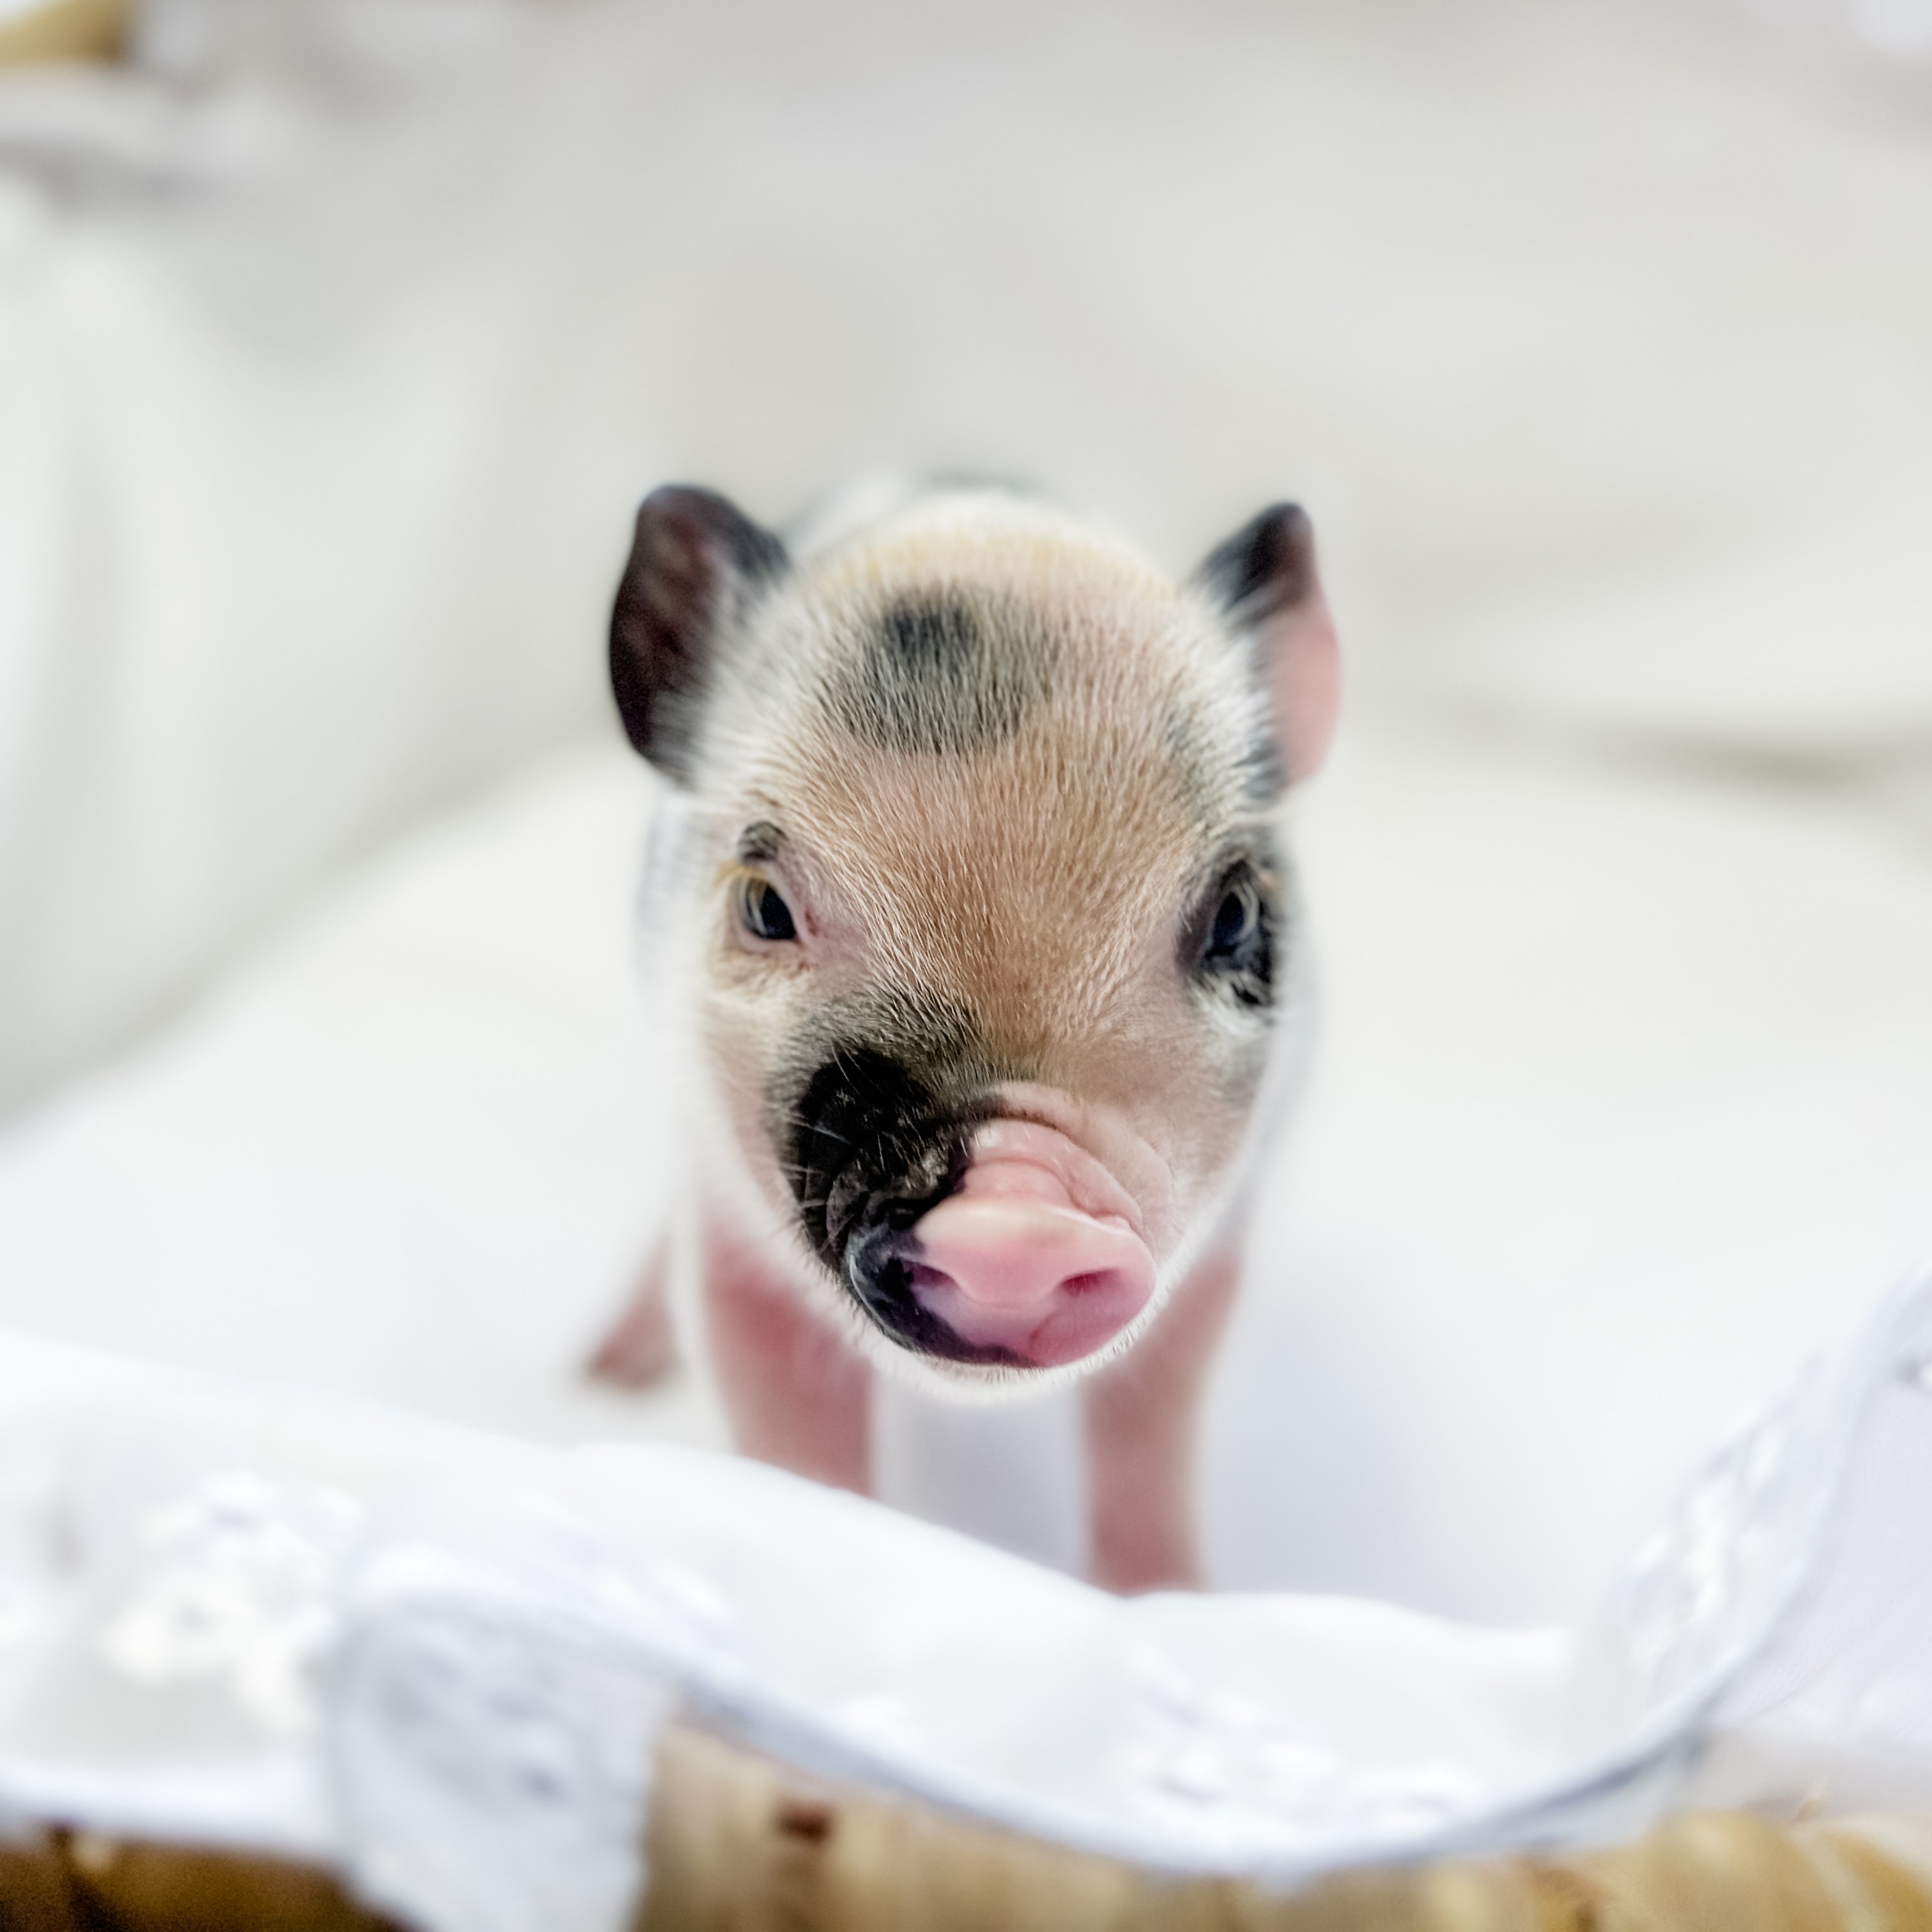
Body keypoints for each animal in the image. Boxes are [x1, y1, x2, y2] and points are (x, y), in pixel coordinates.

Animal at [589, 480, 1339, 1591]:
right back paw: (604, 1375)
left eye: (1236, 915)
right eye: (766, 907)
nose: (1020, 1212)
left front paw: (1168, 1603)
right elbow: (790, 1445)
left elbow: (1148, 1437)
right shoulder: (733, 1248)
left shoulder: (1217, 1254)